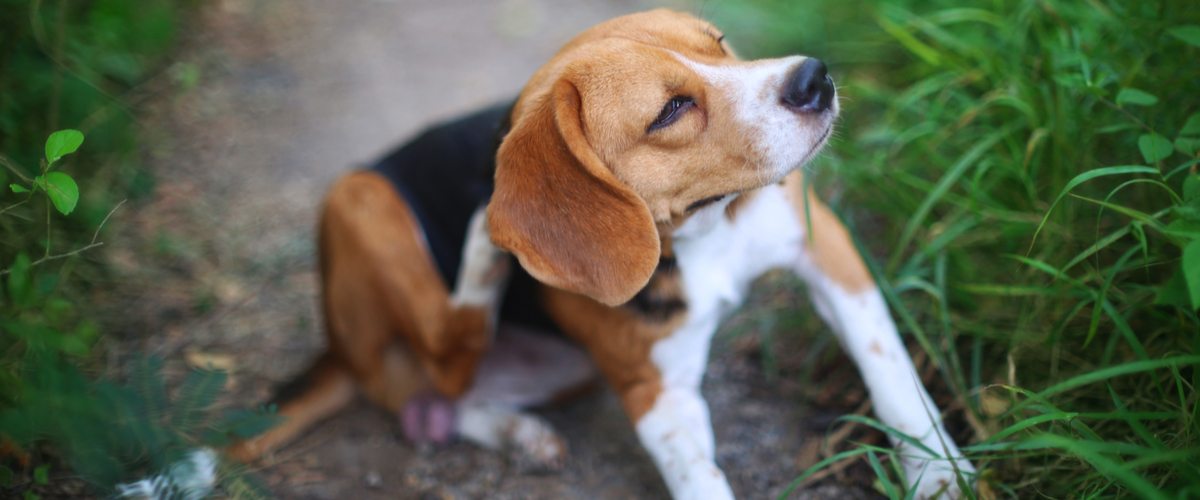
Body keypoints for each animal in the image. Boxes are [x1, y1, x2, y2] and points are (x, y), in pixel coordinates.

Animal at [231, 8, 974, 498]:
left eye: (721, 44)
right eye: (671, 110)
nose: (814, 78)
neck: (702, 233)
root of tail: (340, 354)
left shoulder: (827, 250)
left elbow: (893, 377)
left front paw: (938, 472)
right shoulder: (657, 396)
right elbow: (700, 479)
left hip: (565, 367)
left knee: (439, 398)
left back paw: (517, 431)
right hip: (358, 197)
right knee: (444, 353)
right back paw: (483, 254)